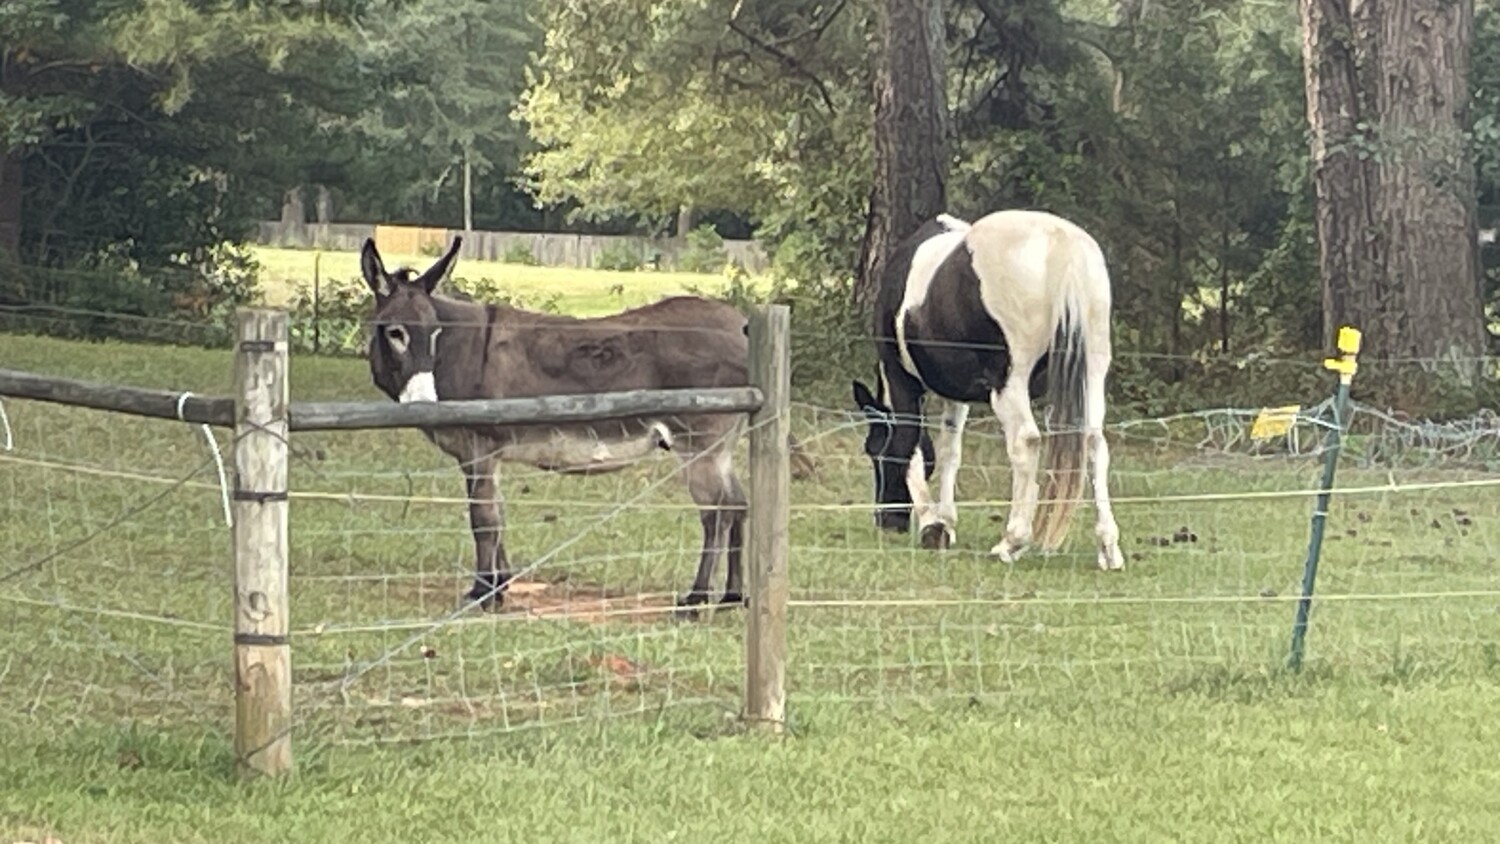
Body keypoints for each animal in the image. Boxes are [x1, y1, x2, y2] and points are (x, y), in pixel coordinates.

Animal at [360, 236, 771, 614]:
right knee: (739, 504)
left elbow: (484, 519)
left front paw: (483, 594)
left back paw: (696, 599)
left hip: (699, 445)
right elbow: (499, 514)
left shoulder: (478, 448)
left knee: (716, 512)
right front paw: (500, 585)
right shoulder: (489, 455)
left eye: (434, 332)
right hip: (721, 446)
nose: (425, 403)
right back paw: (733, 596)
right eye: (395, 332)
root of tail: (740, 325)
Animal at [850, 209, 1124, 571]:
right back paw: (1108, 549)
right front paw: (946, 522)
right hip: (1093, 372)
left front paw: (931, 525)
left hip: (1011, 383)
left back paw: (1011, 542)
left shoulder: (901, 380)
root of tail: (1061, 245)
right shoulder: (956, 395)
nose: (886, 520)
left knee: (1026, 441)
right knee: (1095, 443)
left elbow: (908, 444)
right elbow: (950, 451)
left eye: (872, 449)